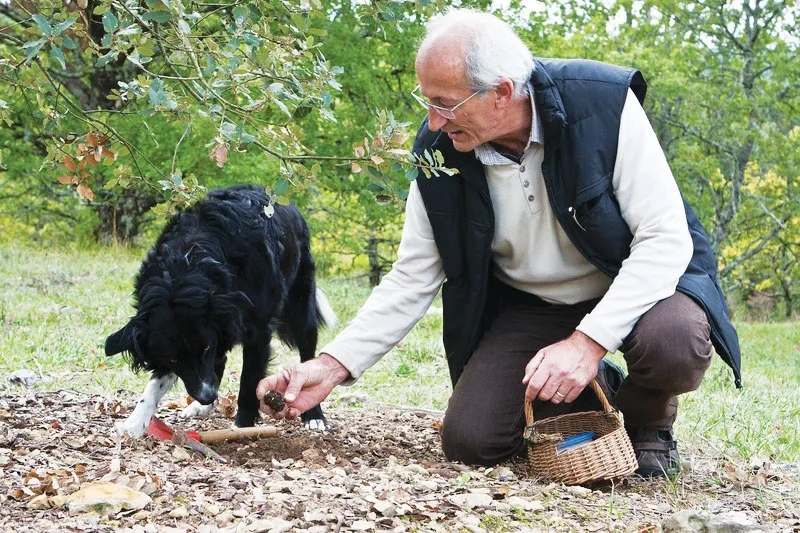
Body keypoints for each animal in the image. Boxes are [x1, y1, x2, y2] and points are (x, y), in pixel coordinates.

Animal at [105, 185, 334, 434]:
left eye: (205, 348)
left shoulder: (257, 331)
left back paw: (314, 416)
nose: (207, 396)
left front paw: (243, 427)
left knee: (307, 357)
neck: (186, 268)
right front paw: (135, 423)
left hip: (301, 307)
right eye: (174, 359)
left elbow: (249, 381)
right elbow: (156, 383)